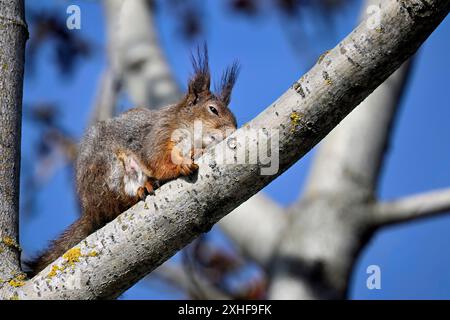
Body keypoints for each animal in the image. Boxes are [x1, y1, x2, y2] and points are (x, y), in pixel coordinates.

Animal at [26, 46, 239, 276]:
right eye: (213, 110)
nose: (233, 129)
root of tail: (91, 211)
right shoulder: (158, 136)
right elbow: (158, 161)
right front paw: (180, 165)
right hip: (112, 171)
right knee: (117, 201)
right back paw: (142, 188)